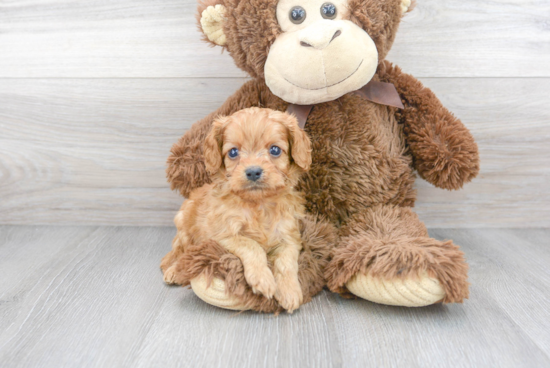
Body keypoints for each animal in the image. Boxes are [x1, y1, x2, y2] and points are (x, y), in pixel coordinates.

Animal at [162, 107, 312, 314]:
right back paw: (173, 271)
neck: (258, 204)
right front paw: (263, 279)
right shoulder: (221, 235)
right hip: (184, 225)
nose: (253, 171)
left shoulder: (289, 237)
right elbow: (251, 245)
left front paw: (290, 291)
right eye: (233, 152)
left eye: (274, 150)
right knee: (181, 252)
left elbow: (287, 263)